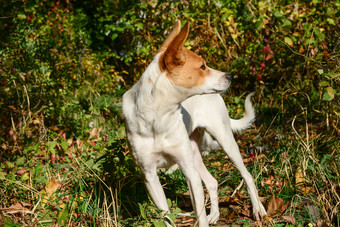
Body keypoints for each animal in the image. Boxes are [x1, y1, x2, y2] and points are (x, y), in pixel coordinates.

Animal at [121, 20, 266, 225]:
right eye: (203, 66)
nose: (230, 76)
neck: (158, 118)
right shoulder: (150, 177)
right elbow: (167, 217)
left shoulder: (189, 171)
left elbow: (200, 216)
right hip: (195, 152)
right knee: (212, 182)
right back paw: (215, 214)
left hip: (225, 141)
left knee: (247, 175)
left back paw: (258, 209)